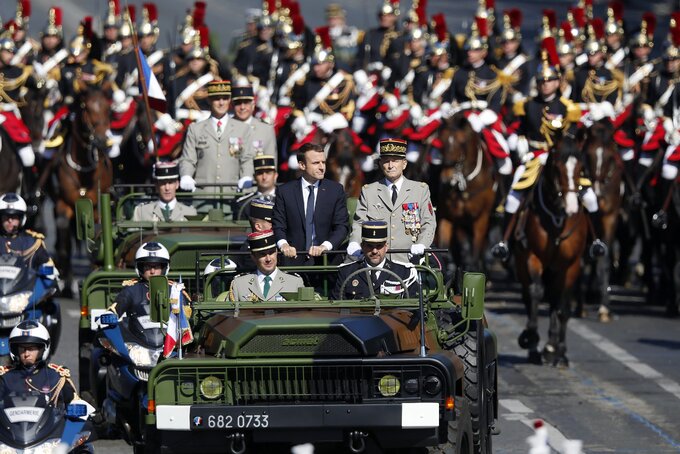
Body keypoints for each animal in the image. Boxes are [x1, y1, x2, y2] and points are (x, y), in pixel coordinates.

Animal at [55, 87, 113, 294]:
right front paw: (66, 280)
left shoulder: (95, 209)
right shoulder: (63, 205)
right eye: (85, 107)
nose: (102, 140)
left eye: (108, 108)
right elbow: (63, 245)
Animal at [436, 113, 494, 276]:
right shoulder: (449, 218)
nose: (445, 179)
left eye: (462, 143)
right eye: (442, 141)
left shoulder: (480, 220)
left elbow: (472, 258)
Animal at [516, 137, 588, 368]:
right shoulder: (532, 257)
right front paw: (531, 336)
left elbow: (562, 305)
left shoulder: (571, 265)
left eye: (581, 168)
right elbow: (536, 292)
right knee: (531, 295)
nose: (572, 207)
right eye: (556, 167)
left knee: (556, 301)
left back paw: (556, 349)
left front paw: (556, 349)